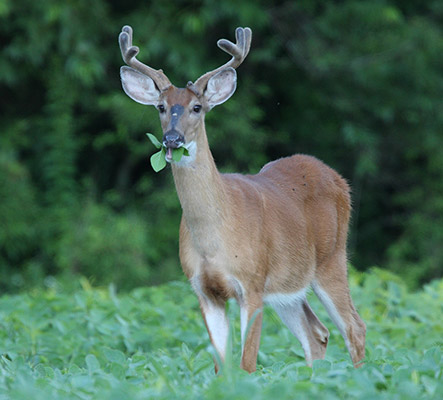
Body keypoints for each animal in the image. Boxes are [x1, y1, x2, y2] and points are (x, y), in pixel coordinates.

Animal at [119, 26, 366, 374]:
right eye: (161, 107)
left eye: (197, 107)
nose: (172, 139)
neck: (214, 236)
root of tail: (338, 179)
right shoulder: (203, 289)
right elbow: (221, 366)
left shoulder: (252, 282)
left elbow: (247, 363)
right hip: (288, 284)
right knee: (317, 332)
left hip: (332, 258)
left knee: (354, 327)